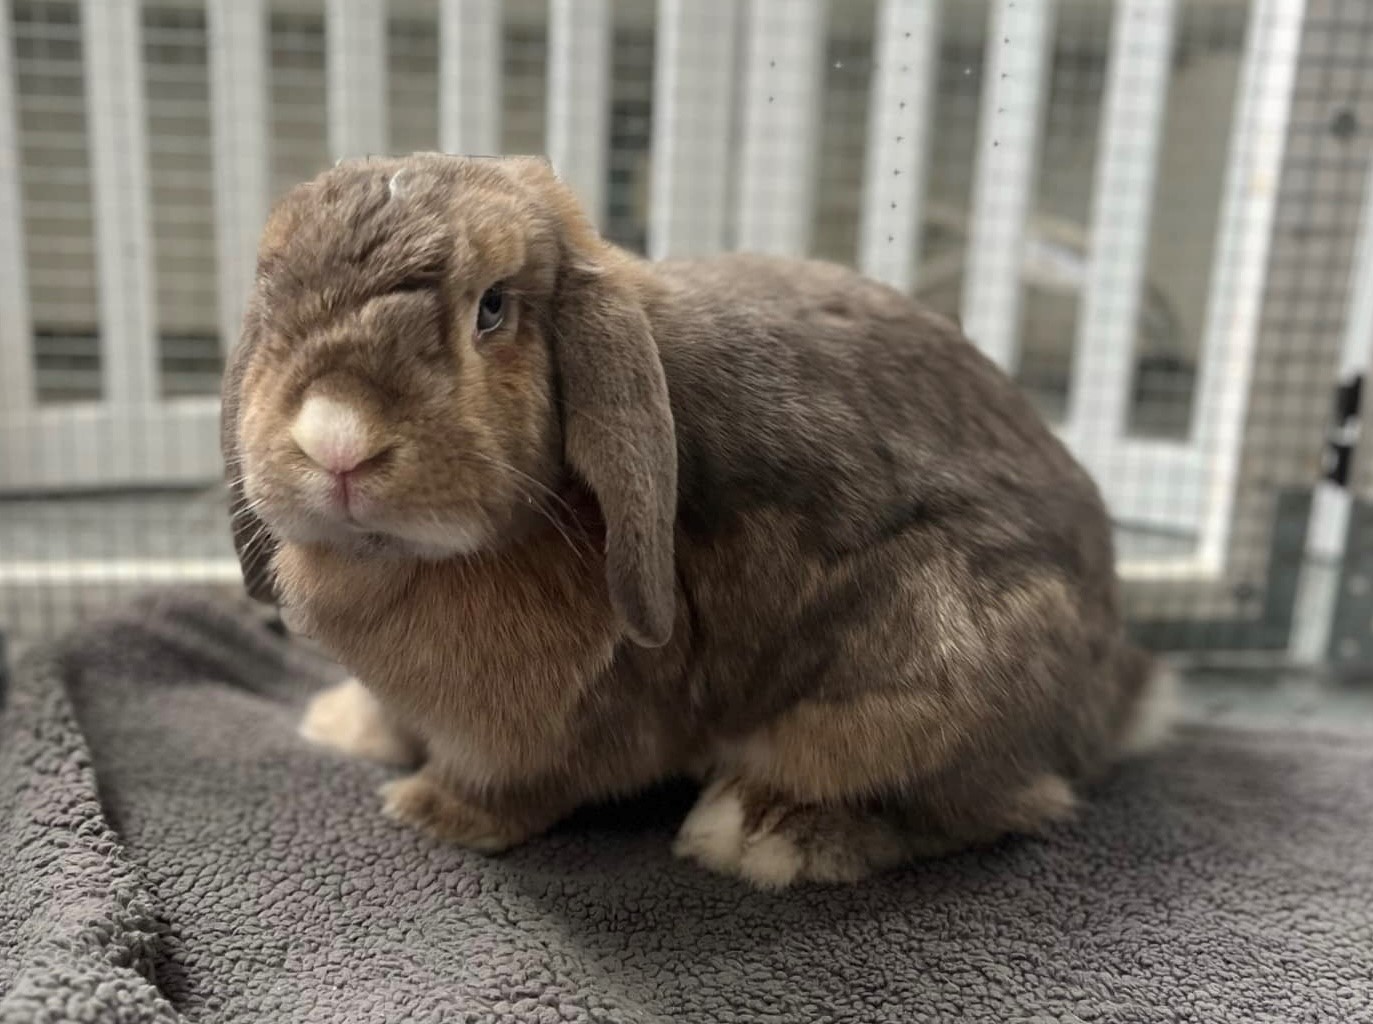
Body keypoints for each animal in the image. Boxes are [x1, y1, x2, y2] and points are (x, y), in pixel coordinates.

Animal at [222, 152, 1174, 888]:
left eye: (492, 307)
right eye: (270, 299)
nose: (337, 439)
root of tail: (1115, 694)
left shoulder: (541, 730)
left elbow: (514, 782)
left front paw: (430, 812)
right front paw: (341, 726)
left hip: (921, 679)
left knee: (986, 803)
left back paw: (762, 835)